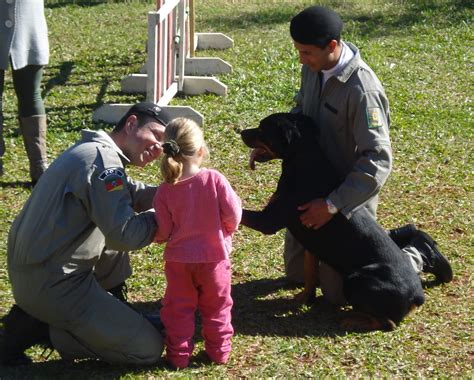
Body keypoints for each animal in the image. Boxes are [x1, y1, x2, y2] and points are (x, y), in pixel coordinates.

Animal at [241, 112, 426, 330]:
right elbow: (310, 273)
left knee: (387, 323)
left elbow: (239, 209)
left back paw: (351, 320)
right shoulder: (311, 246)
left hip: (356, 280)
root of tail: (417, 296)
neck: (304, 160)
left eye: (262, 128)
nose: (241, 132)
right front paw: (305, 298)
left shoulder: (268, 220)